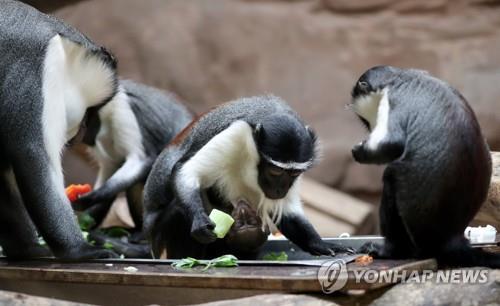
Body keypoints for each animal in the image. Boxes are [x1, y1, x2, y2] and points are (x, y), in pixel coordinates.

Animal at [0, 0, 118, 260]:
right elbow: (31, 154)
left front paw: (26, 249)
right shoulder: (37, 66)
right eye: (87, 115)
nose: (82, 134)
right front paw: (79, 250)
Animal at [70, 79, 193, 237]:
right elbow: (110, 168)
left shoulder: (124, 110)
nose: (74, 139)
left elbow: (140, 160)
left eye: (84, 122)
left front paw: (86, 199)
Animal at [144, 95, 356, 258]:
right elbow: (186, 170)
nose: (279, 189)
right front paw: (199, 221)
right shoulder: (236, 132)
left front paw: (320, 244)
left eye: (294, 173)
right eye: (275, 171)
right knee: (178, 209)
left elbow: (287, 211)